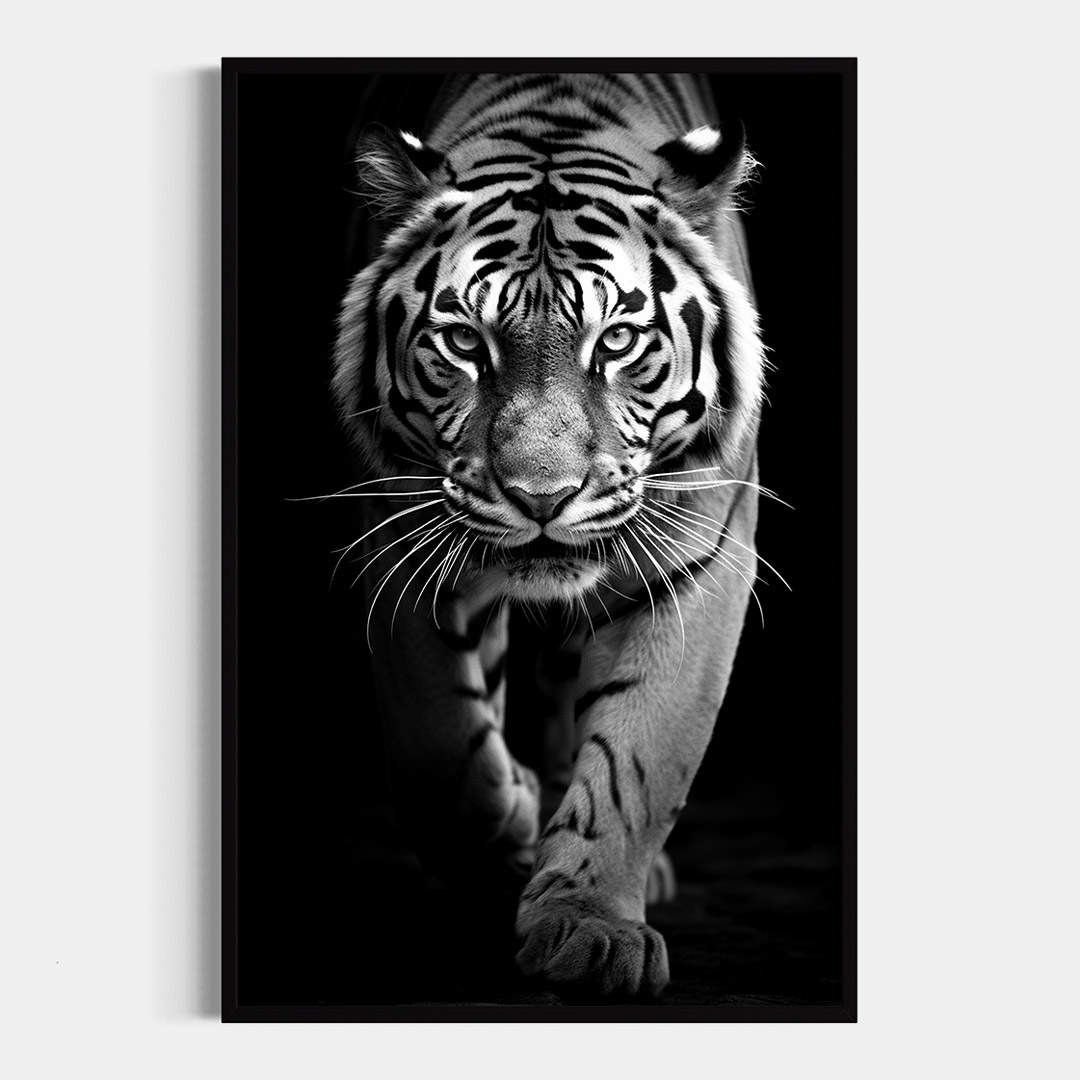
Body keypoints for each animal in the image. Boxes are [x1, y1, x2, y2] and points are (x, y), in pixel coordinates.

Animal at [332, 72, 768, 999]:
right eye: (464, 341)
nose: (542, 496)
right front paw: (512, 835)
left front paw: (590, 928)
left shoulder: (697, 561)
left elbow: (643, 756)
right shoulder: (403, 537)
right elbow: (439, 754)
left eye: (620, 341)